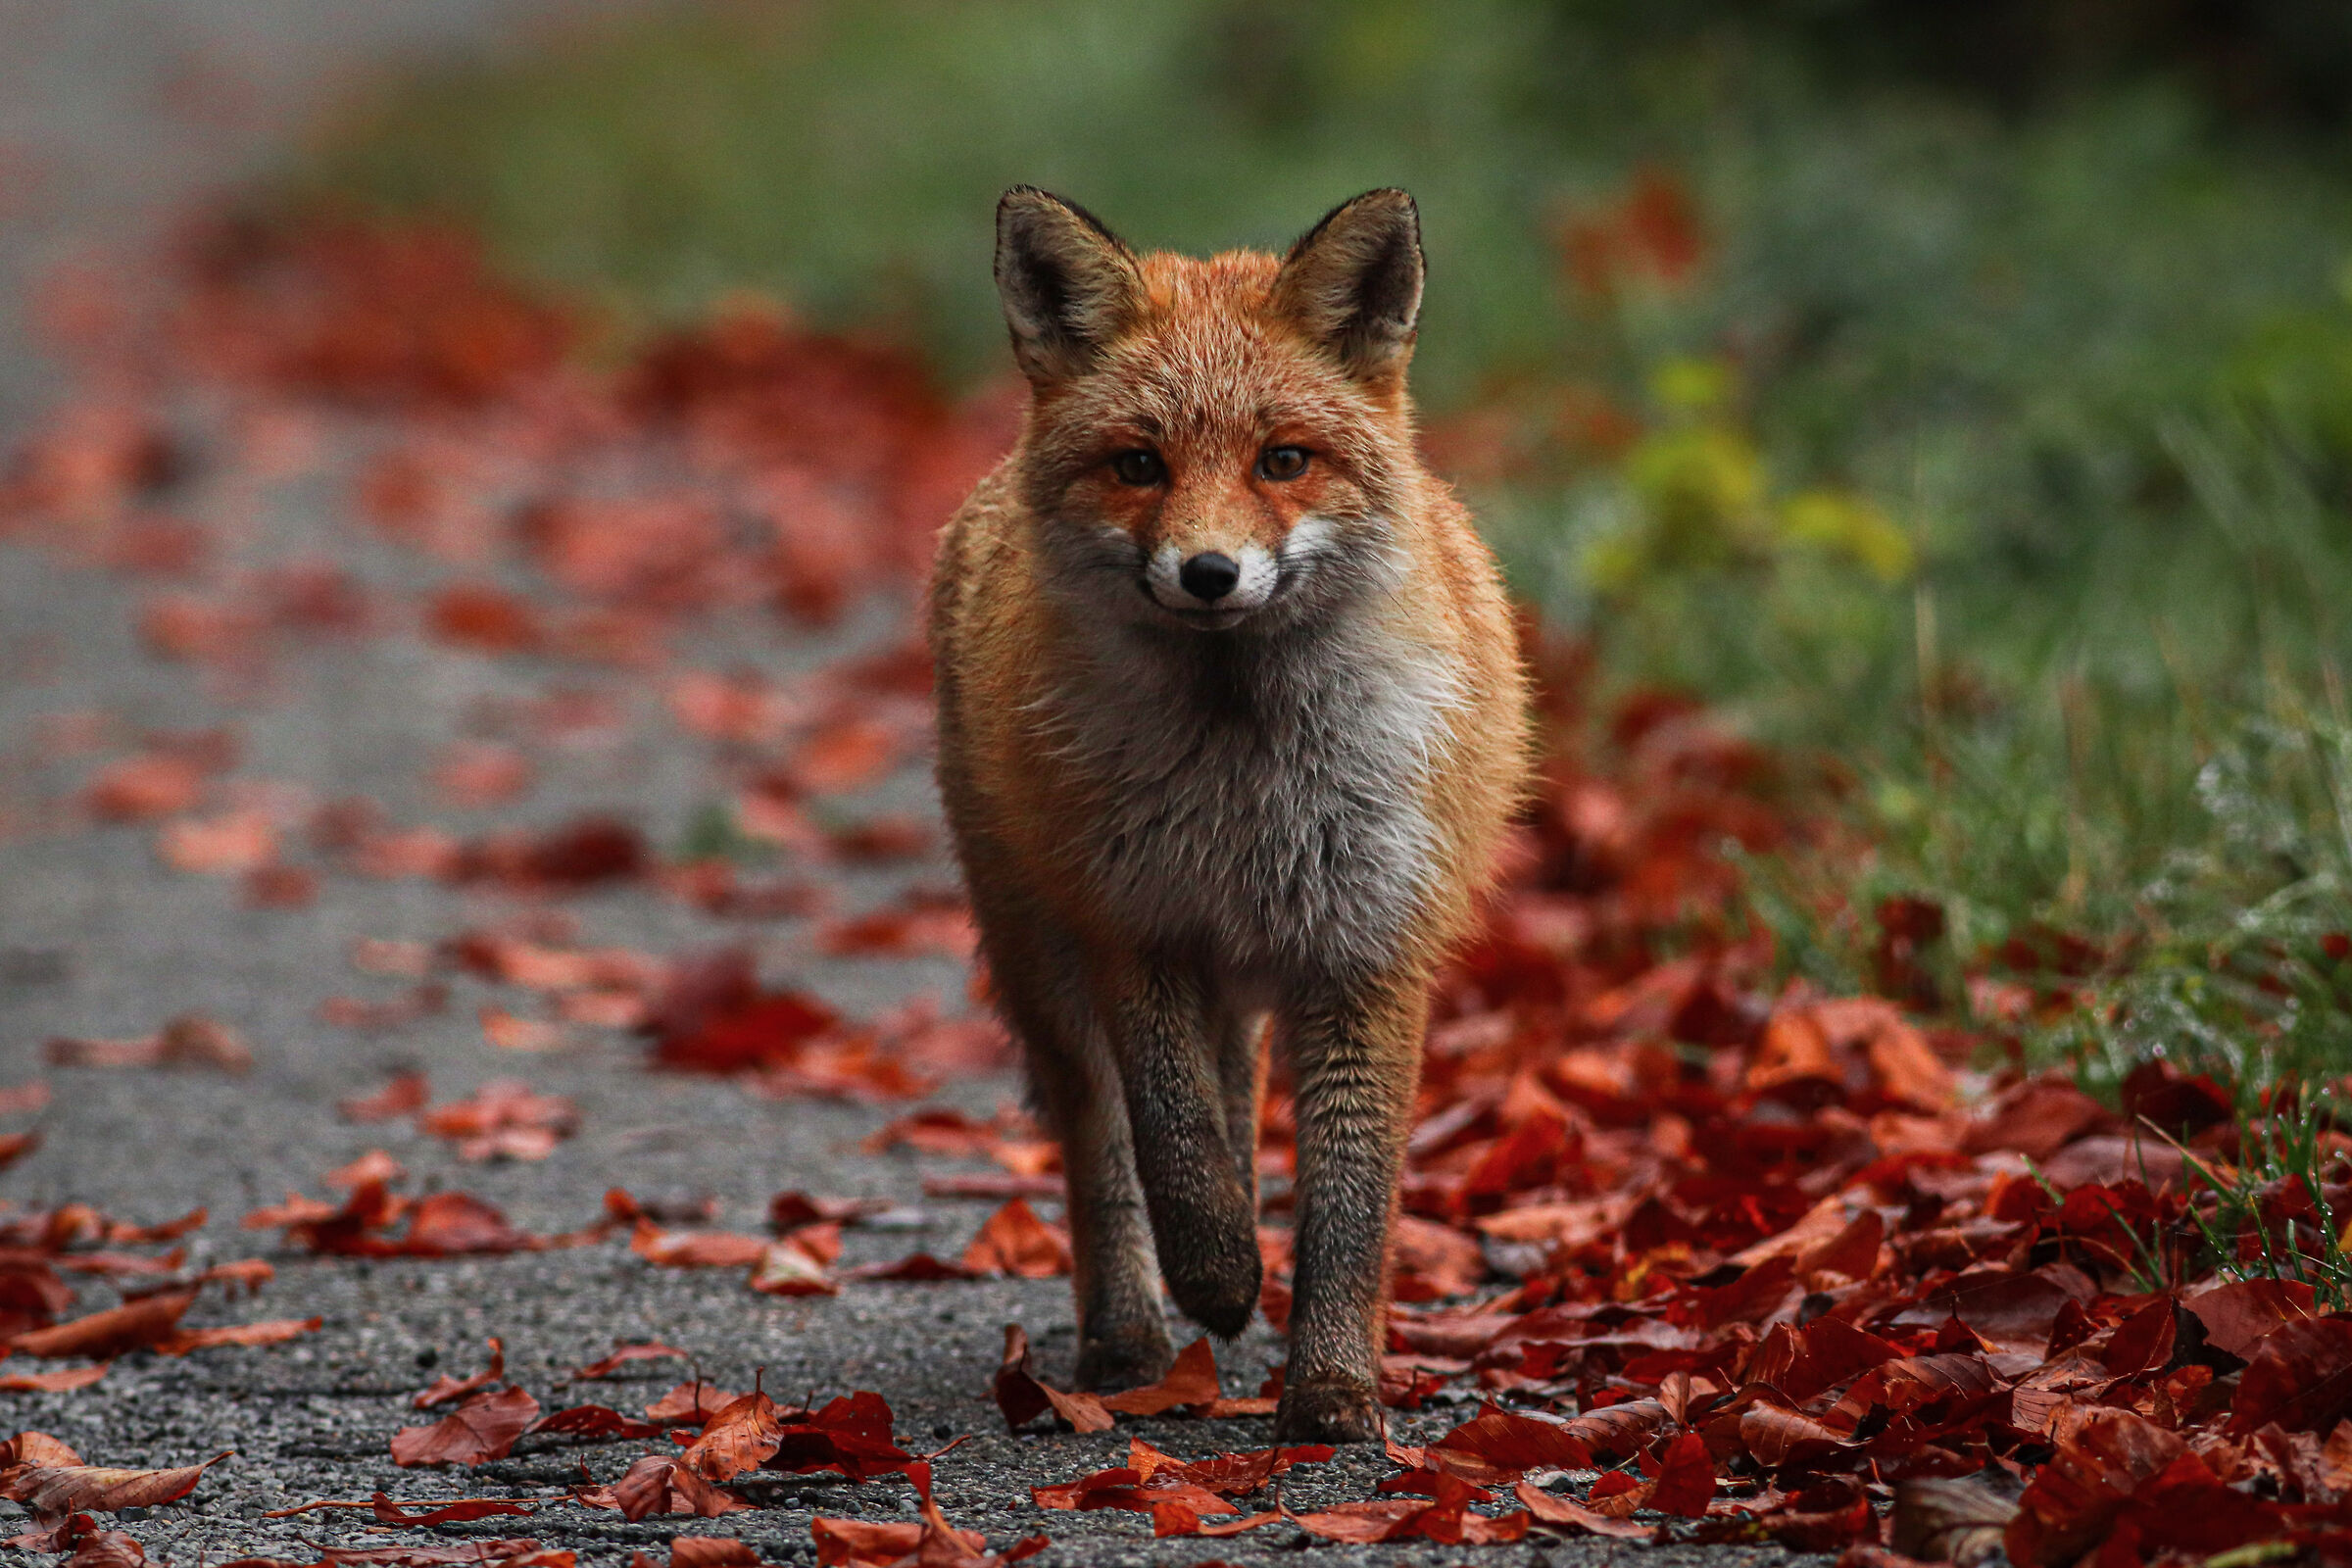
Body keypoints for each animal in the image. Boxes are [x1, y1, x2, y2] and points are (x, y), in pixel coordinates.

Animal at [929, 186, 1530, 1443]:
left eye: (1283, 460)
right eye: (1138, 465)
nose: (1209, 573)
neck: (1243, 776)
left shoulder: (1368, 946)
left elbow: (1349, 1202)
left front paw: (1335, 1390)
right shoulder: (1133, 924)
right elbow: (1173, 1141)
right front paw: (1214, 1275)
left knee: (1236, 1104)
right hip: (1038, 949)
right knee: (1102, 1142)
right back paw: (1130, 1335)